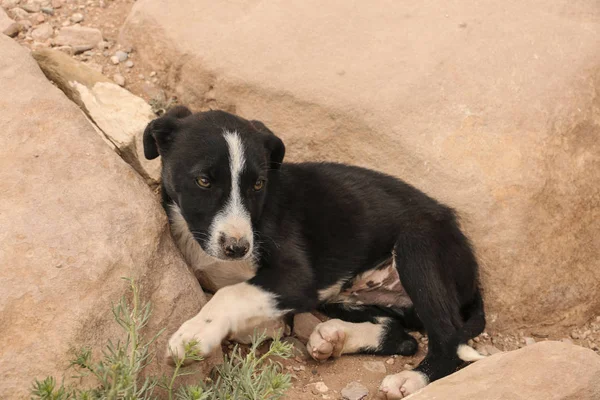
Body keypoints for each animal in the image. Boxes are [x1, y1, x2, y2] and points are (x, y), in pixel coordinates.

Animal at [143, 106, 486, 400]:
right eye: (203, 180)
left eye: (258, 184)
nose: (238, 248)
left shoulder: (297, 278)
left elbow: (231, 294)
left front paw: (194, 336)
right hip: (349, 297)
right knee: (404, 336)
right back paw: (337, 336)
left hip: (418, 247)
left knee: (447, 338)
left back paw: (411, 378)